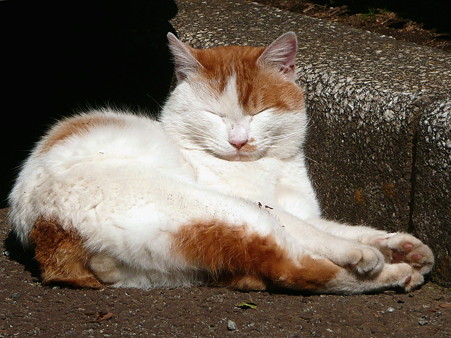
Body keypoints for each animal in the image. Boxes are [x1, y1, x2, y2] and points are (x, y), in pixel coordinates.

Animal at [7, 33, 434, 294]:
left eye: (259, 112)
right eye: (213, 115)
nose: (239, 140)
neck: (271, 167)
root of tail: (45, 229)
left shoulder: (304, 211)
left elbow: (347, 227)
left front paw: (403, 244)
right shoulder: (270, 208)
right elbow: (321, 232)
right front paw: (376, 252)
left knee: (289, 266)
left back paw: (402, 268)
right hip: (221, 208)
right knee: (295, 267)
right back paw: (384, 268)